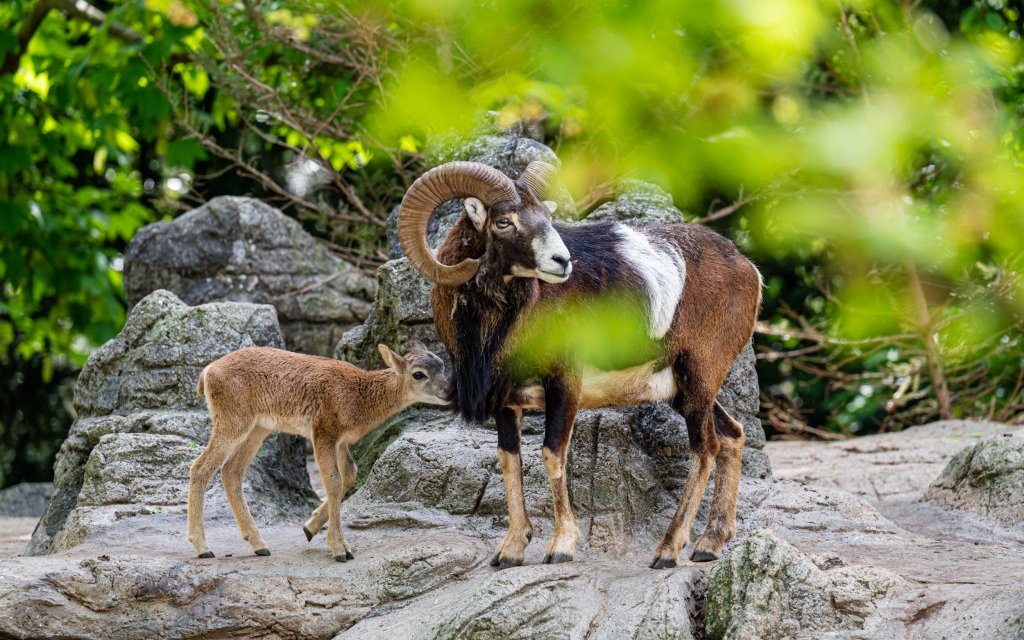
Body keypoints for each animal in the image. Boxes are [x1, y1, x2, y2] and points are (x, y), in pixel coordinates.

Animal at [187, 339, 448, 557]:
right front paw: (340, 549)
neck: (359, 396)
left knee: (230, 471)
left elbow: (349, 476)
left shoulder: (341, 441)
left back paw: (259, 545)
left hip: (257, 428)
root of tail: (207, 372)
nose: (449, 391)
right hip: (233, 421)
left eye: (443, 365)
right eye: (418, 374)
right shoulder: (323, 432)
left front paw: (309, 528)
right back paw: (203, 548)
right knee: (200, 468)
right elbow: (333, 482)